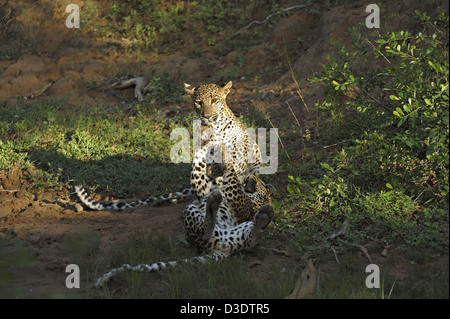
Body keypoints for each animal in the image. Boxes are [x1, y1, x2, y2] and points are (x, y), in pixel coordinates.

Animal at [92, 165, 272, 290]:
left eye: (262, 182)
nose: (255, 175)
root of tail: (220, 248)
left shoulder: (241, 203)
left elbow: (233, 182)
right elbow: (223, 181)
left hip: (191, 212)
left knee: (204, 231)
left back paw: (214, 205)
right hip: (239, 231)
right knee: (249, 242)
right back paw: (261, 219)